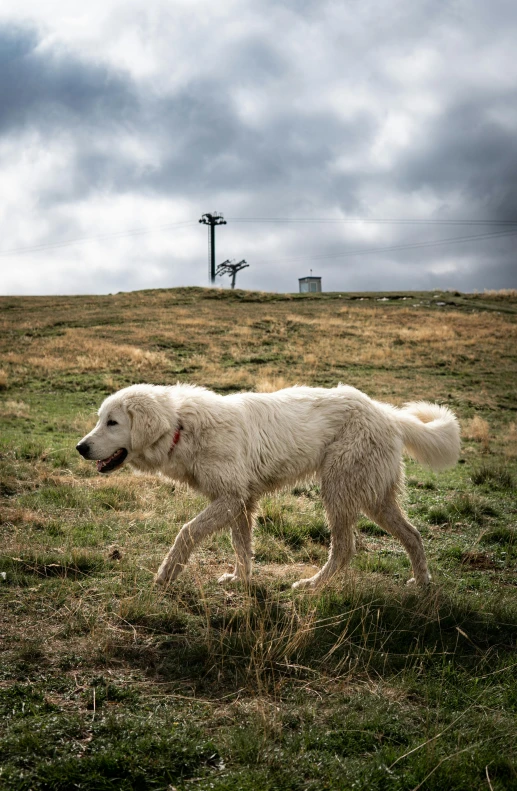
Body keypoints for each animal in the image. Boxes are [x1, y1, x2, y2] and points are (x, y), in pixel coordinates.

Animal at [76, 384, 460, 588]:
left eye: (112, 423)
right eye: (100, 419)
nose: (80, 447)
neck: (180, 427)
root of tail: (386, 412)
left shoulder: (230, 499)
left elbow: (186, 532)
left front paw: (165, 575)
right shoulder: (241, 502)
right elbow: (241, 546)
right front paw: (241, 580)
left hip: (340, 492)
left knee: (344, 548)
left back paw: (313, 586)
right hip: (376, 498)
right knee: (413, 535)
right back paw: (422, 584)